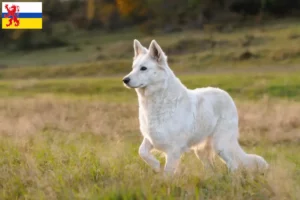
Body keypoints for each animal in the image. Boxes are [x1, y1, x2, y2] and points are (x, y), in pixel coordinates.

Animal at [123, 39, 268, 175]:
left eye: (143, 68)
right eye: (133, 68)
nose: (125, 80)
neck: (158, 100)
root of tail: (225, 94)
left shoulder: (173, 149)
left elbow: (168, 172)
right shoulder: (151, 138)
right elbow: (142, 152)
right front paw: (156, 165)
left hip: (221, 145)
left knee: (233, 165)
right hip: (201, 151)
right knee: (211, 167)